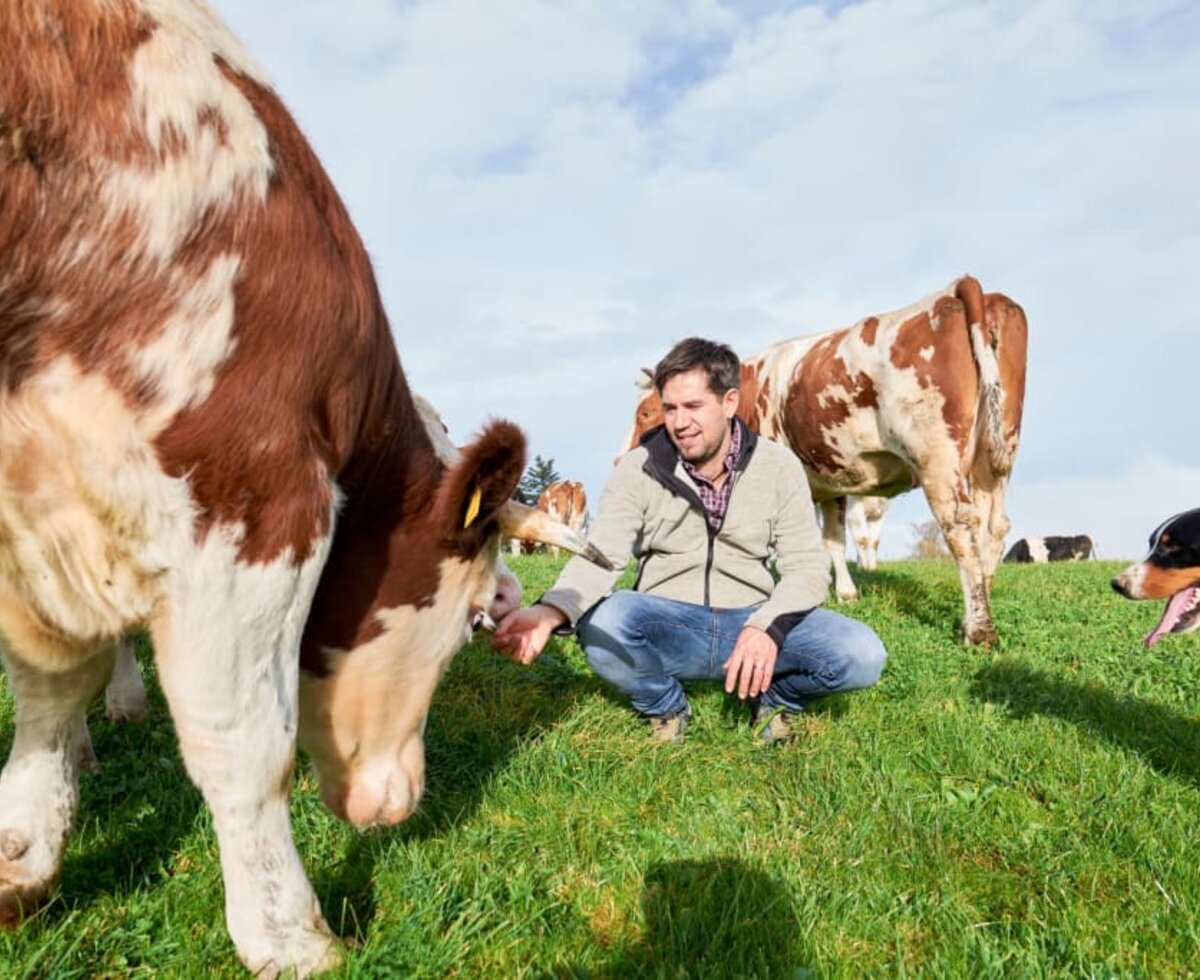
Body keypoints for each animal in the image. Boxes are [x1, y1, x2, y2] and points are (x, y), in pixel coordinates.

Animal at [0, 3, 609, 974]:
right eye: (469, 619)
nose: (397, 802)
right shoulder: (252, 493)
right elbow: (244, 741)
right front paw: (289, 933)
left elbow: (52, 687)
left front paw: (21, 855)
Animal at [624, 275, 1027, 642]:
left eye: (646, 412)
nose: (622, 457)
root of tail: (960, 289)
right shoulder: (832, 481)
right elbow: (832, 539)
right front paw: (846, 593)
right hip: (995, 453)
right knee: (994, 526)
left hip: (937, 455)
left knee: (960, 525)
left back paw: (978, 630)